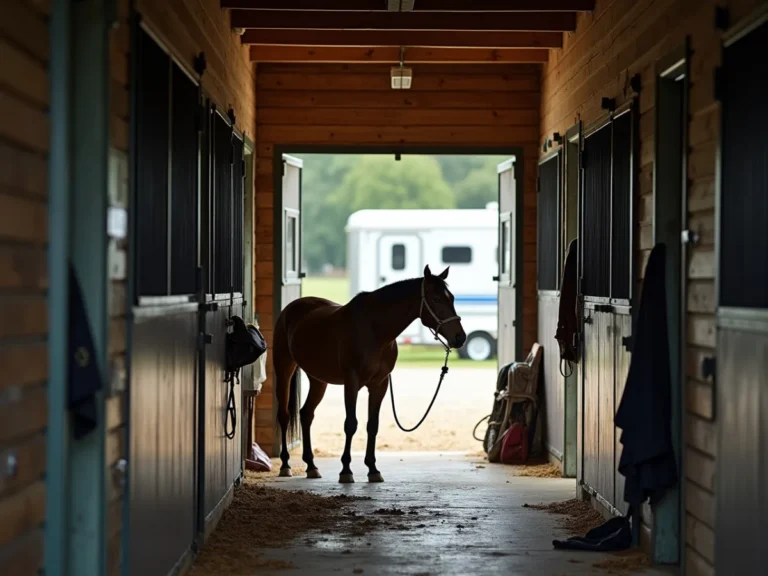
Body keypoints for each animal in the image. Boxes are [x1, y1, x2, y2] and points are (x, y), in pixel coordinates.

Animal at [272, 264, 467, 483]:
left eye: (451, 298)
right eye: (436, 299)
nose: (460, 337)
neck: (375, 330)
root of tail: (291, 308)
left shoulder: (379, 384)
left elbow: (372, 425)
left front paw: (373, 469)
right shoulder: (352, 382)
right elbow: (351, 424)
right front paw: (346, 470)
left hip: (318, 379)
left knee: (306, 414)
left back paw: (312, 466)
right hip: (284, 369)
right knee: (284, 415)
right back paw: (286, 465)